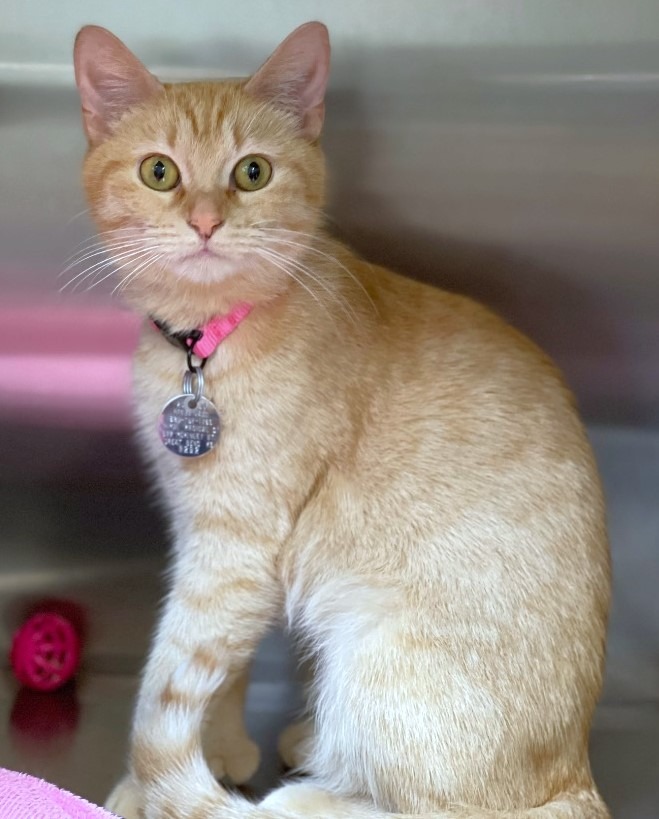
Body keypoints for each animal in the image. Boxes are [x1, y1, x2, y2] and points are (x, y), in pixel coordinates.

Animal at [73, 22, 612, 816]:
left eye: (252, 172)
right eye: (160, 172)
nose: (205, 222)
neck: (206, 343)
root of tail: (572, 776)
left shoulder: (234, 547)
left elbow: (172, 667)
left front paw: (149, 786)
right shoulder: (208, 537)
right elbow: (221, 669)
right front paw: (222, 748)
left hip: (374, 658)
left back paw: (303, 793)